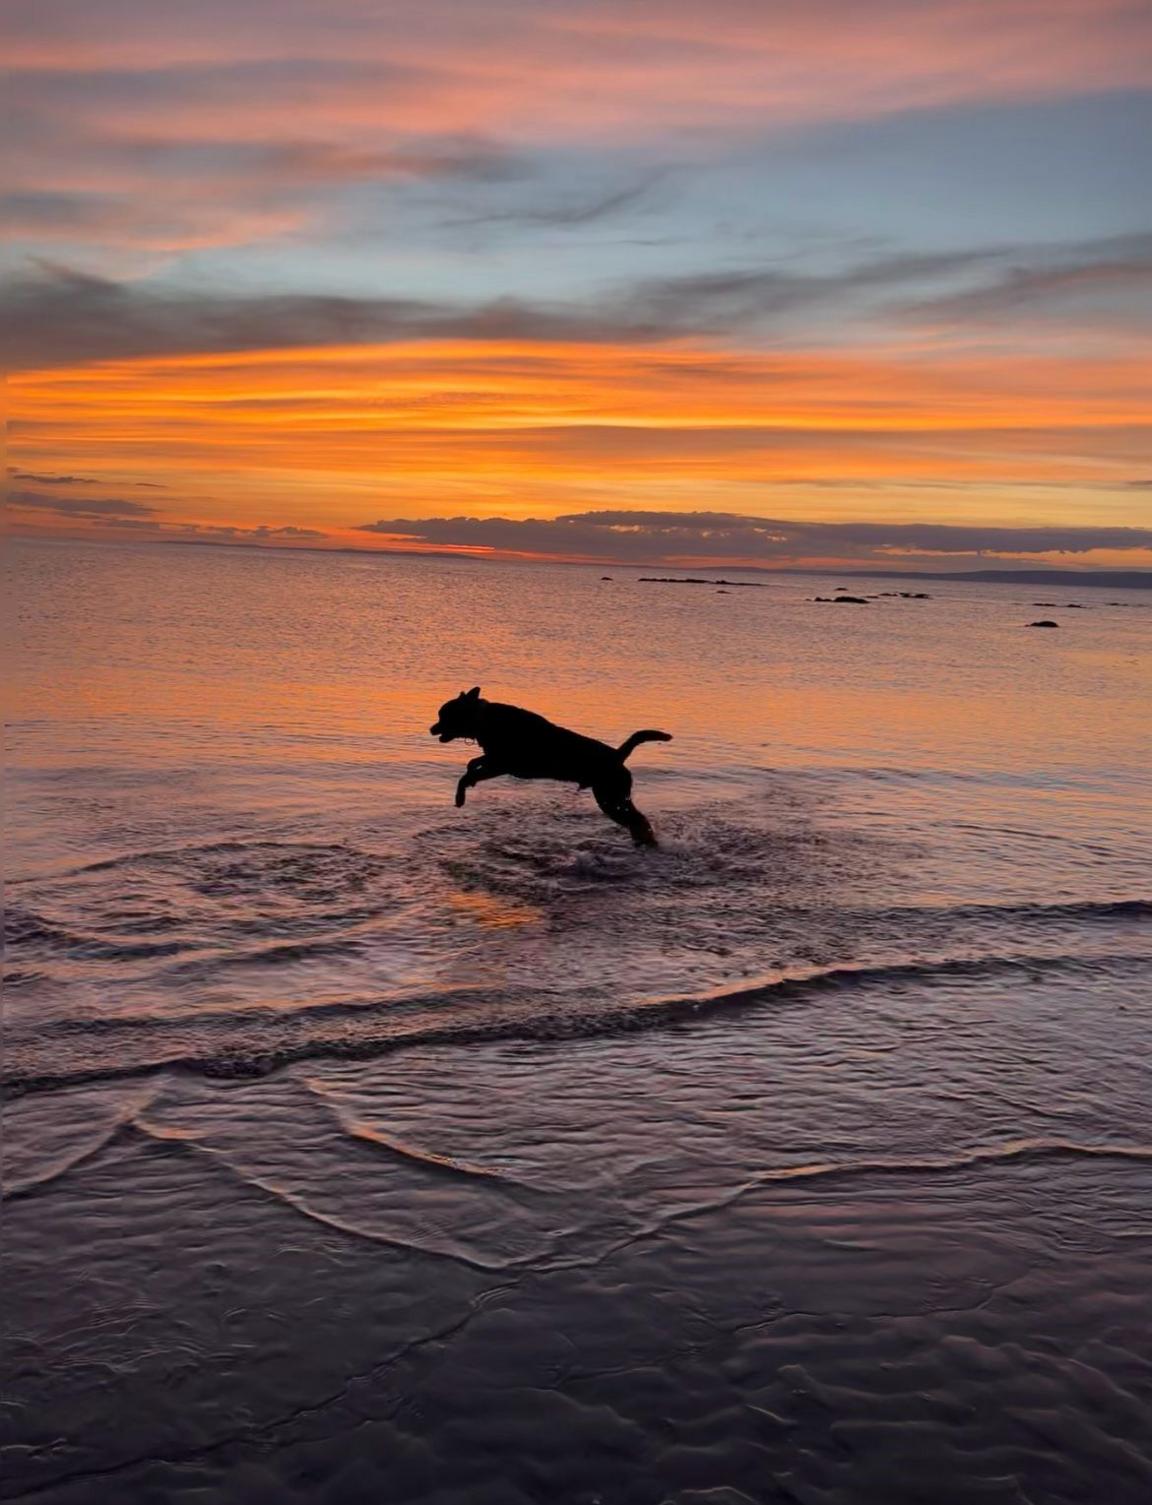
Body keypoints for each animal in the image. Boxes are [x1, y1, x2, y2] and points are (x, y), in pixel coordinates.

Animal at [427, 689, 668, 848]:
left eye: (444, 715)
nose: (431, 728)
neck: (483, 719)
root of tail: (618, 755)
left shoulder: (501, 764)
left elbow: (467, 775)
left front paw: (461, 796)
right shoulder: (493, 759)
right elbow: (472, 763)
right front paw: (470, 780)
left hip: (610, 799)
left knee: (637, 821)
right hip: (614, 800)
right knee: (636, 821)